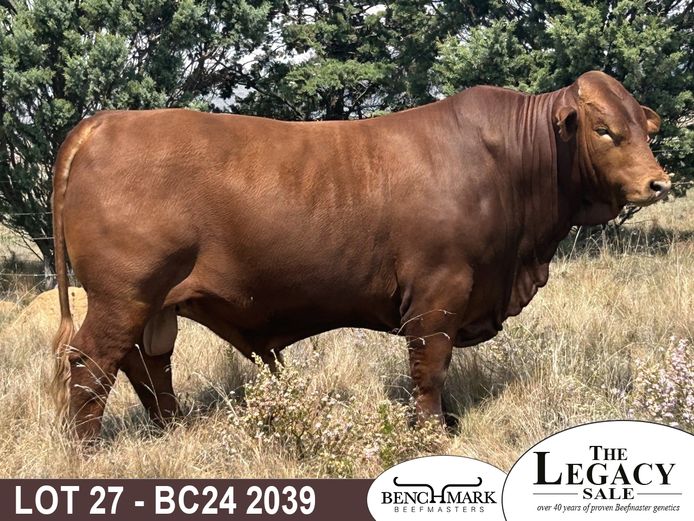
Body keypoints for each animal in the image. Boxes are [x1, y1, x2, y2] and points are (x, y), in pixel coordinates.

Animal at [51, 71, 671, 441]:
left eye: (644, 127)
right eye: (603, 129)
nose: (658, 183)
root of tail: (103, 122)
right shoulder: (438, 290)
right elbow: (430, 366)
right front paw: (433, 433)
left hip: (156, 301)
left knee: (147, 363)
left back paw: (174, 429)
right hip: (123, 294)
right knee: (91, 362)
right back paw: (86, 449)